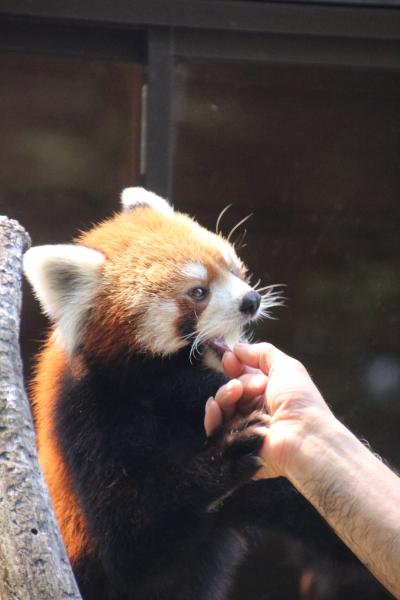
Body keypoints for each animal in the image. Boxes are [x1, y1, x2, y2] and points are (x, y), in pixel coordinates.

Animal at [24, 190, 346, 600]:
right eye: (198, 292)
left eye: (232, 266)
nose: (251, 300)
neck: (171, 390)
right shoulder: (89, 417)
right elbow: (133, 546)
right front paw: (225, 453)